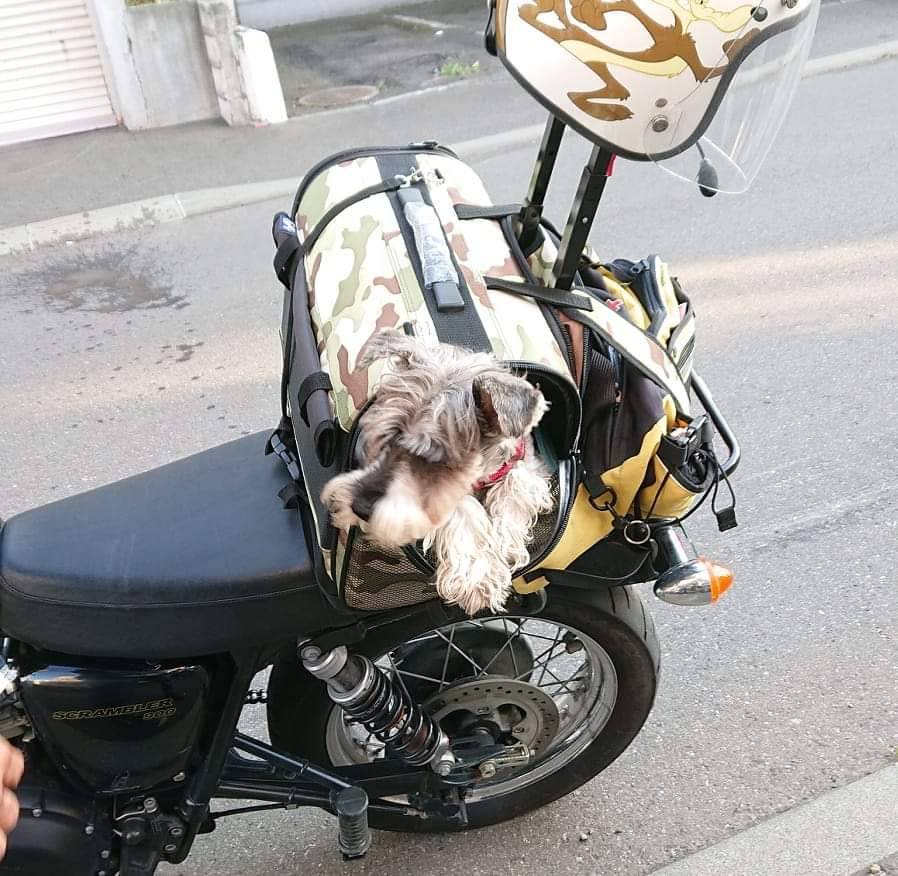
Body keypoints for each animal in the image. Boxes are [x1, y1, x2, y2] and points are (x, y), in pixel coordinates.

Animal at [318, 330, 548, 616]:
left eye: (432, 459)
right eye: (382, 437)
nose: (359, 507)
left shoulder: (527, 462)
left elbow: (517, 485)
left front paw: (506, 544)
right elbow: (463, 511)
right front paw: (477, 580)